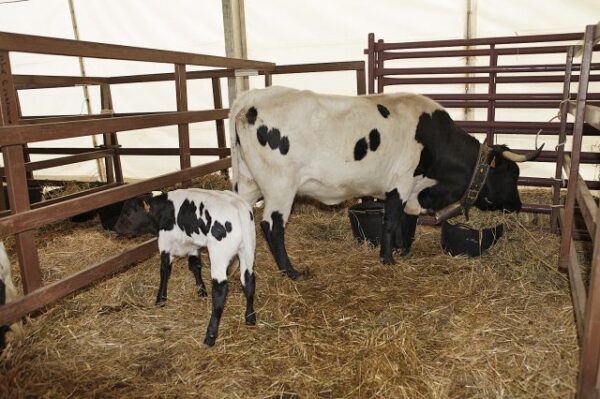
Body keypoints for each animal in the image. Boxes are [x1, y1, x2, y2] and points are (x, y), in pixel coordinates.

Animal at [113, 188, 256, 346]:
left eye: (128, 213)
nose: (115, 227)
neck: (164, 210)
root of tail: (238, 205)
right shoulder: (192, 246)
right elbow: (195, 266)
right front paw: (201, 291)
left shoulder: (165, 245)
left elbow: (165, 271)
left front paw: (160, 299)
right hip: (248, 249)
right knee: (248, 280)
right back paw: (250, 318)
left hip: (219, 254)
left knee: (220, 290)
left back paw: (210, 336)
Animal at [230, 86, 544, 282]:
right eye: (512, 173)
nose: (518, 205)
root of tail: (251, 97)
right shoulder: (402, 182)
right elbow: (392, 220)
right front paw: (388, 258)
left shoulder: (412, 188)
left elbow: (406, 221)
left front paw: (403, 250)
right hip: (280, 187)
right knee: (272, 226)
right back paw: (291, 272)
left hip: (247, 183)